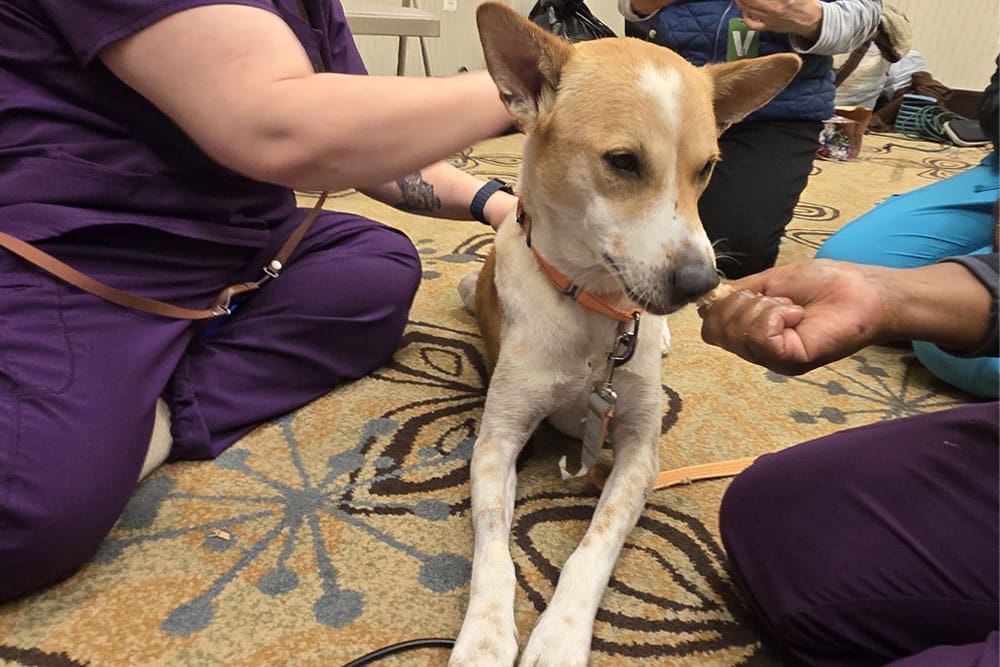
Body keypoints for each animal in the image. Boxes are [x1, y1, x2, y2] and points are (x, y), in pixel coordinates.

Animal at [451, 5, 800, 665]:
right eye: (622, 161)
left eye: (707, 168)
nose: (701, 282)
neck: (592, 310)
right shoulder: (497, 439)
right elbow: (492, 545)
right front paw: (484, 636)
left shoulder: (641, 447)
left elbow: (597, 542)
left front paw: (560, 636)